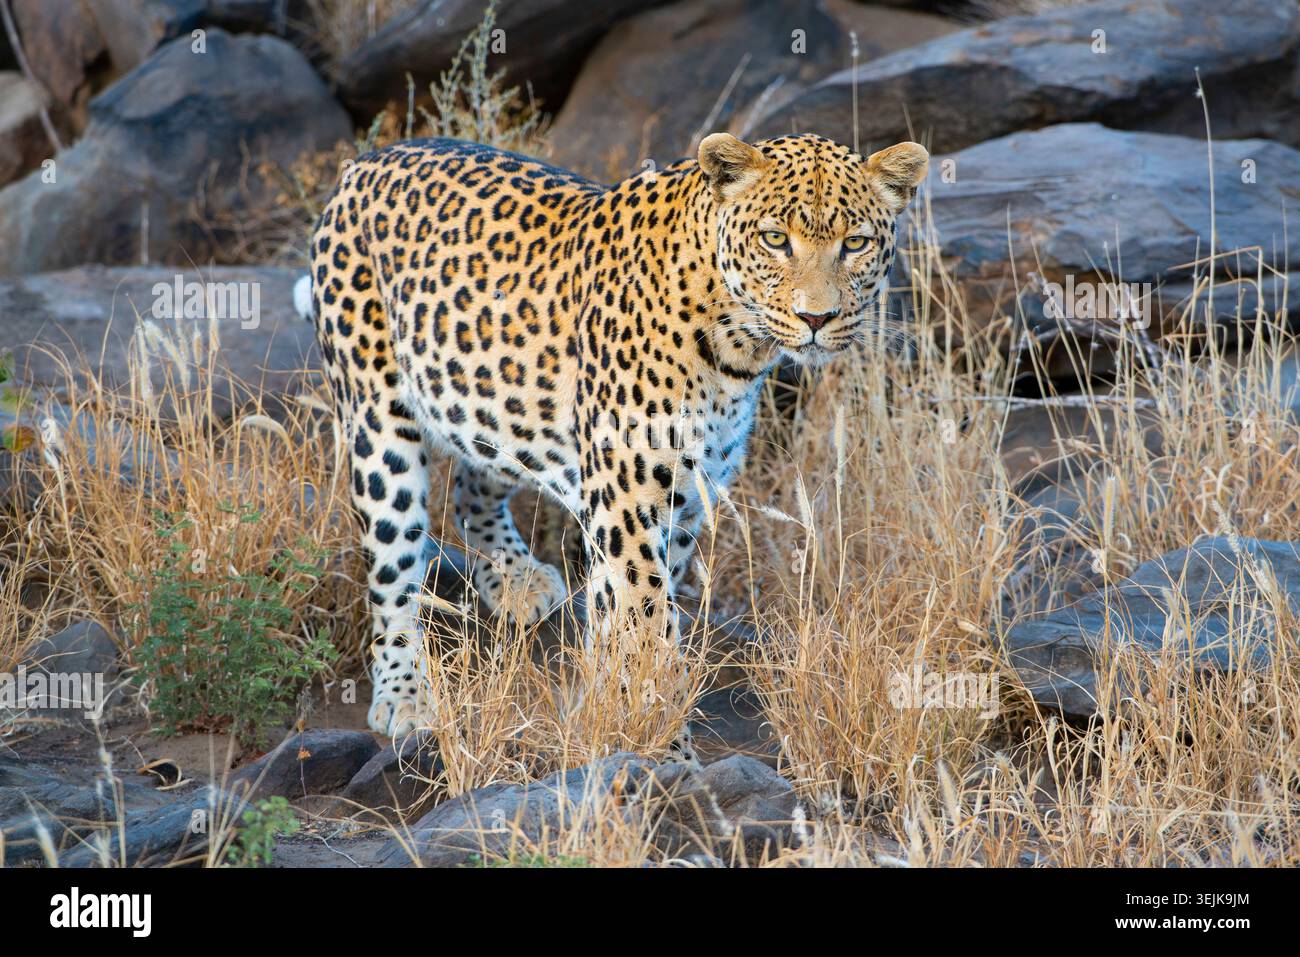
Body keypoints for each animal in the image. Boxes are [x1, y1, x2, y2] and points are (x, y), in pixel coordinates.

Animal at [297, 131, 929, 746]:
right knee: (393, 575)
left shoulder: (682, 497)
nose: (817, 319)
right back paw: (406, 696)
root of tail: (367, 161)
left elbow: (627, 611)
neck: (736, 348)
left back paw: (514, 576)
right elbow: (645, 619)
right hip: (379, 428)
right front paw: (657, 744)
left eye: (856, 243)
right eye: (775, 239)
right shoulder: (628, 500)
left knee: (474, 483)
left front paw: (614, 703)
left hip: (494, 396)